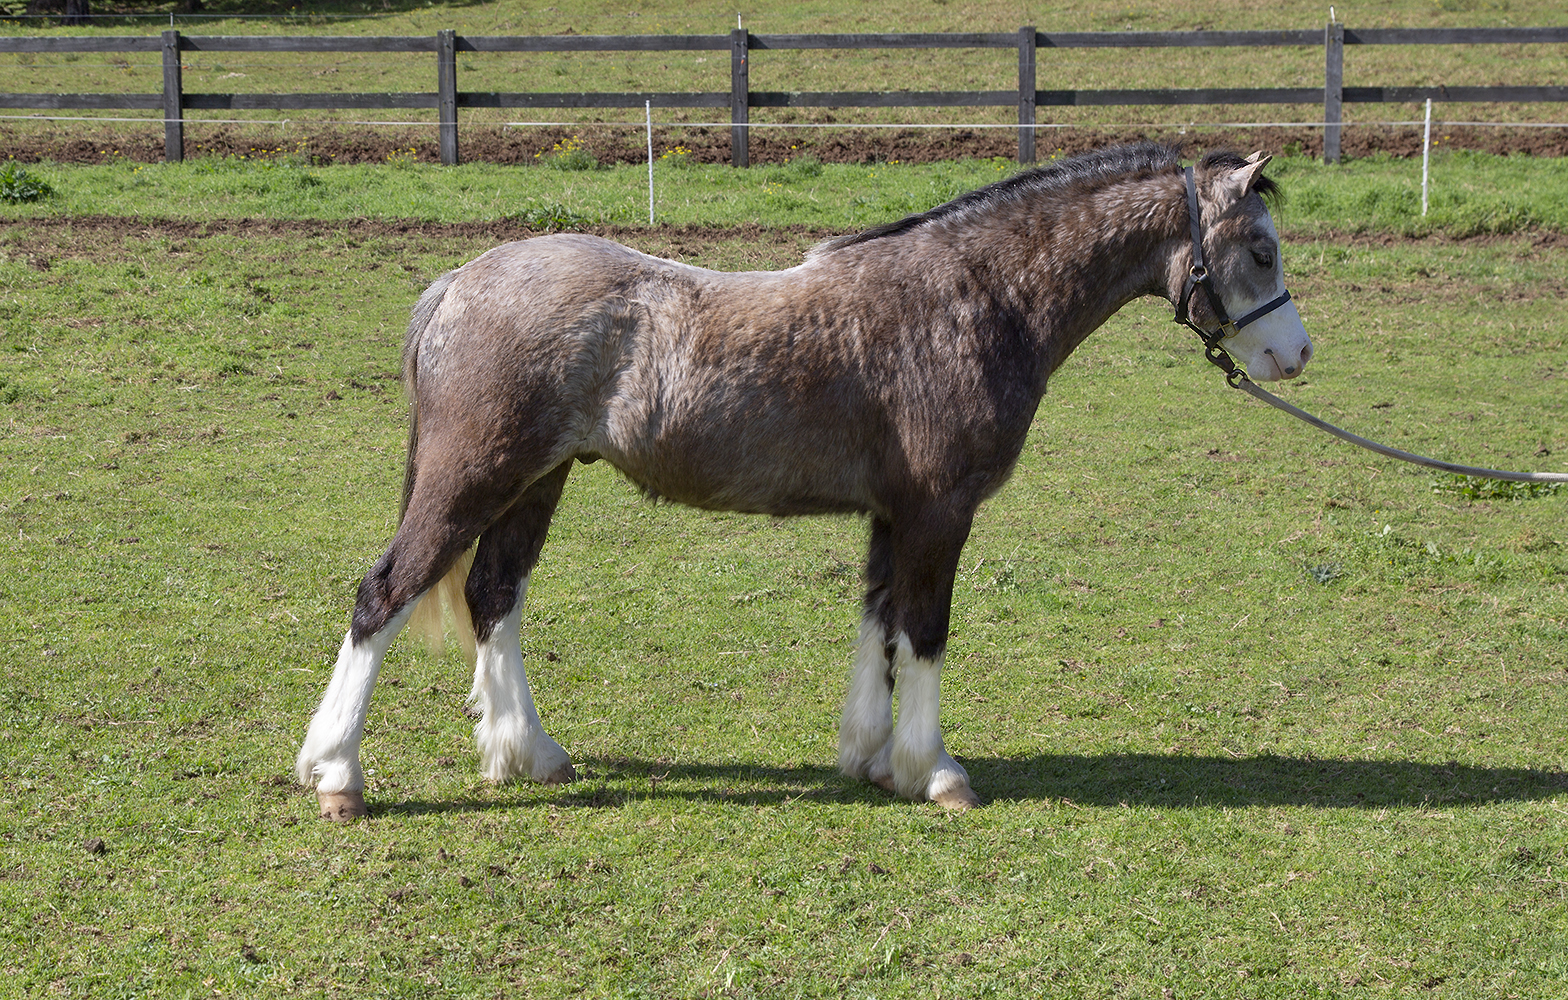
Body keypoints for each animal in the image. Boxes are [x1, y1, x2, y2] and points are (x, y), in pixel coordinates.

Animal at [295, 142, 1312, 820]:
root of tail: (459, 283)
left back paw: (528, 754)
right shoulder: (939, 511)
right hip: (476, 476)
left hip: (533, 483)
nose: (1296, 355)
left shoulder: (893, 513)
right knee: (385, 593)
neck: (973, 297)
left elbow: (881, 625)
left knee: (494, 595)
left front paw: (872, 759)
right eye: (1261, 250)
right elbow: (925, 631)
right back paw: (338, 775)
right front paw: (937, 773)